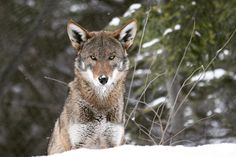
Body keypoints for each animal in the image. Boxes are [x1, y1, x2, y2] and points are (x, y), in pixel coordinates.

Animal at [47, 18, 136, 155]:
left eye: (111, 57)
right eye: (93, 57)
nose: (103, 79)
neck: (101, 104)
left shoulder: (112, 143)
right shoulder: (78, 145)